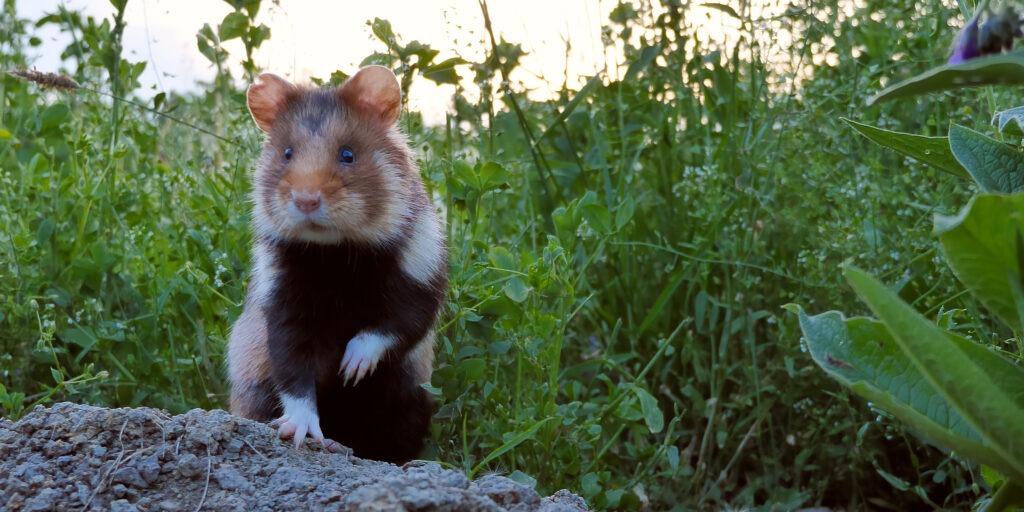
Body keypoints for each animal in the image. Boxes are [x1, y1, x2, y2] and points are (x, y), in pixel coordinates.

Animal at [231, 65, 448, 464]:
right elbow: (295, 374)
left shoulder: (422, 277)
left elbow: (393, 325)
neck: (335, 253)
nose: (305, 200)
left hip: (407, 402)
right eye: (287, 153)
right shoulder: (282, 305)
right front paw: (301, 433)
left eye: (348, 154)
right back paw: (329, 442)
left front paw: (350, 369)